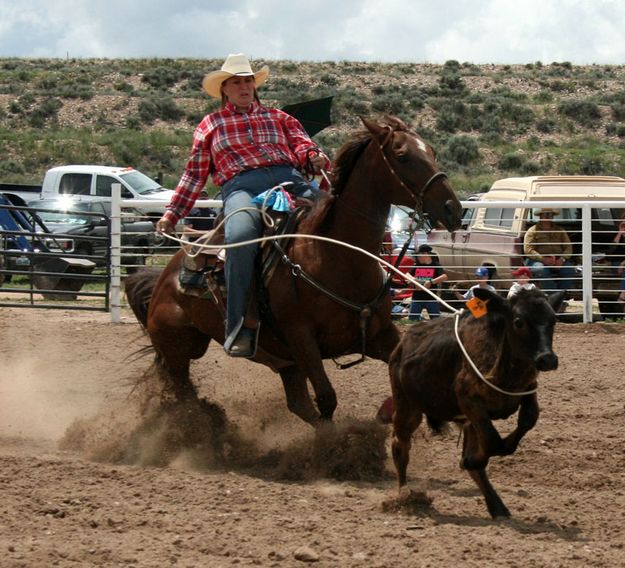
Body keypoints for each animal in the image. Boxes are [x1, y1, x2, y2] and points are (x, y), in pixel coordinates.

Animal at [123, 115, 464, 426]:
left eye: (432, 151)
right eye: (402, 155)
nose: (453, 209)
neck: (335, 256)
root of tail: (164, 278)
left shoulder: (380, 333)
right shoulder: (302, 340)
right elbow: (327, 398)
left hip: (282, 362)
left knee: (297, 404)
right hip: (180, 348)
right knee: (183, 392)